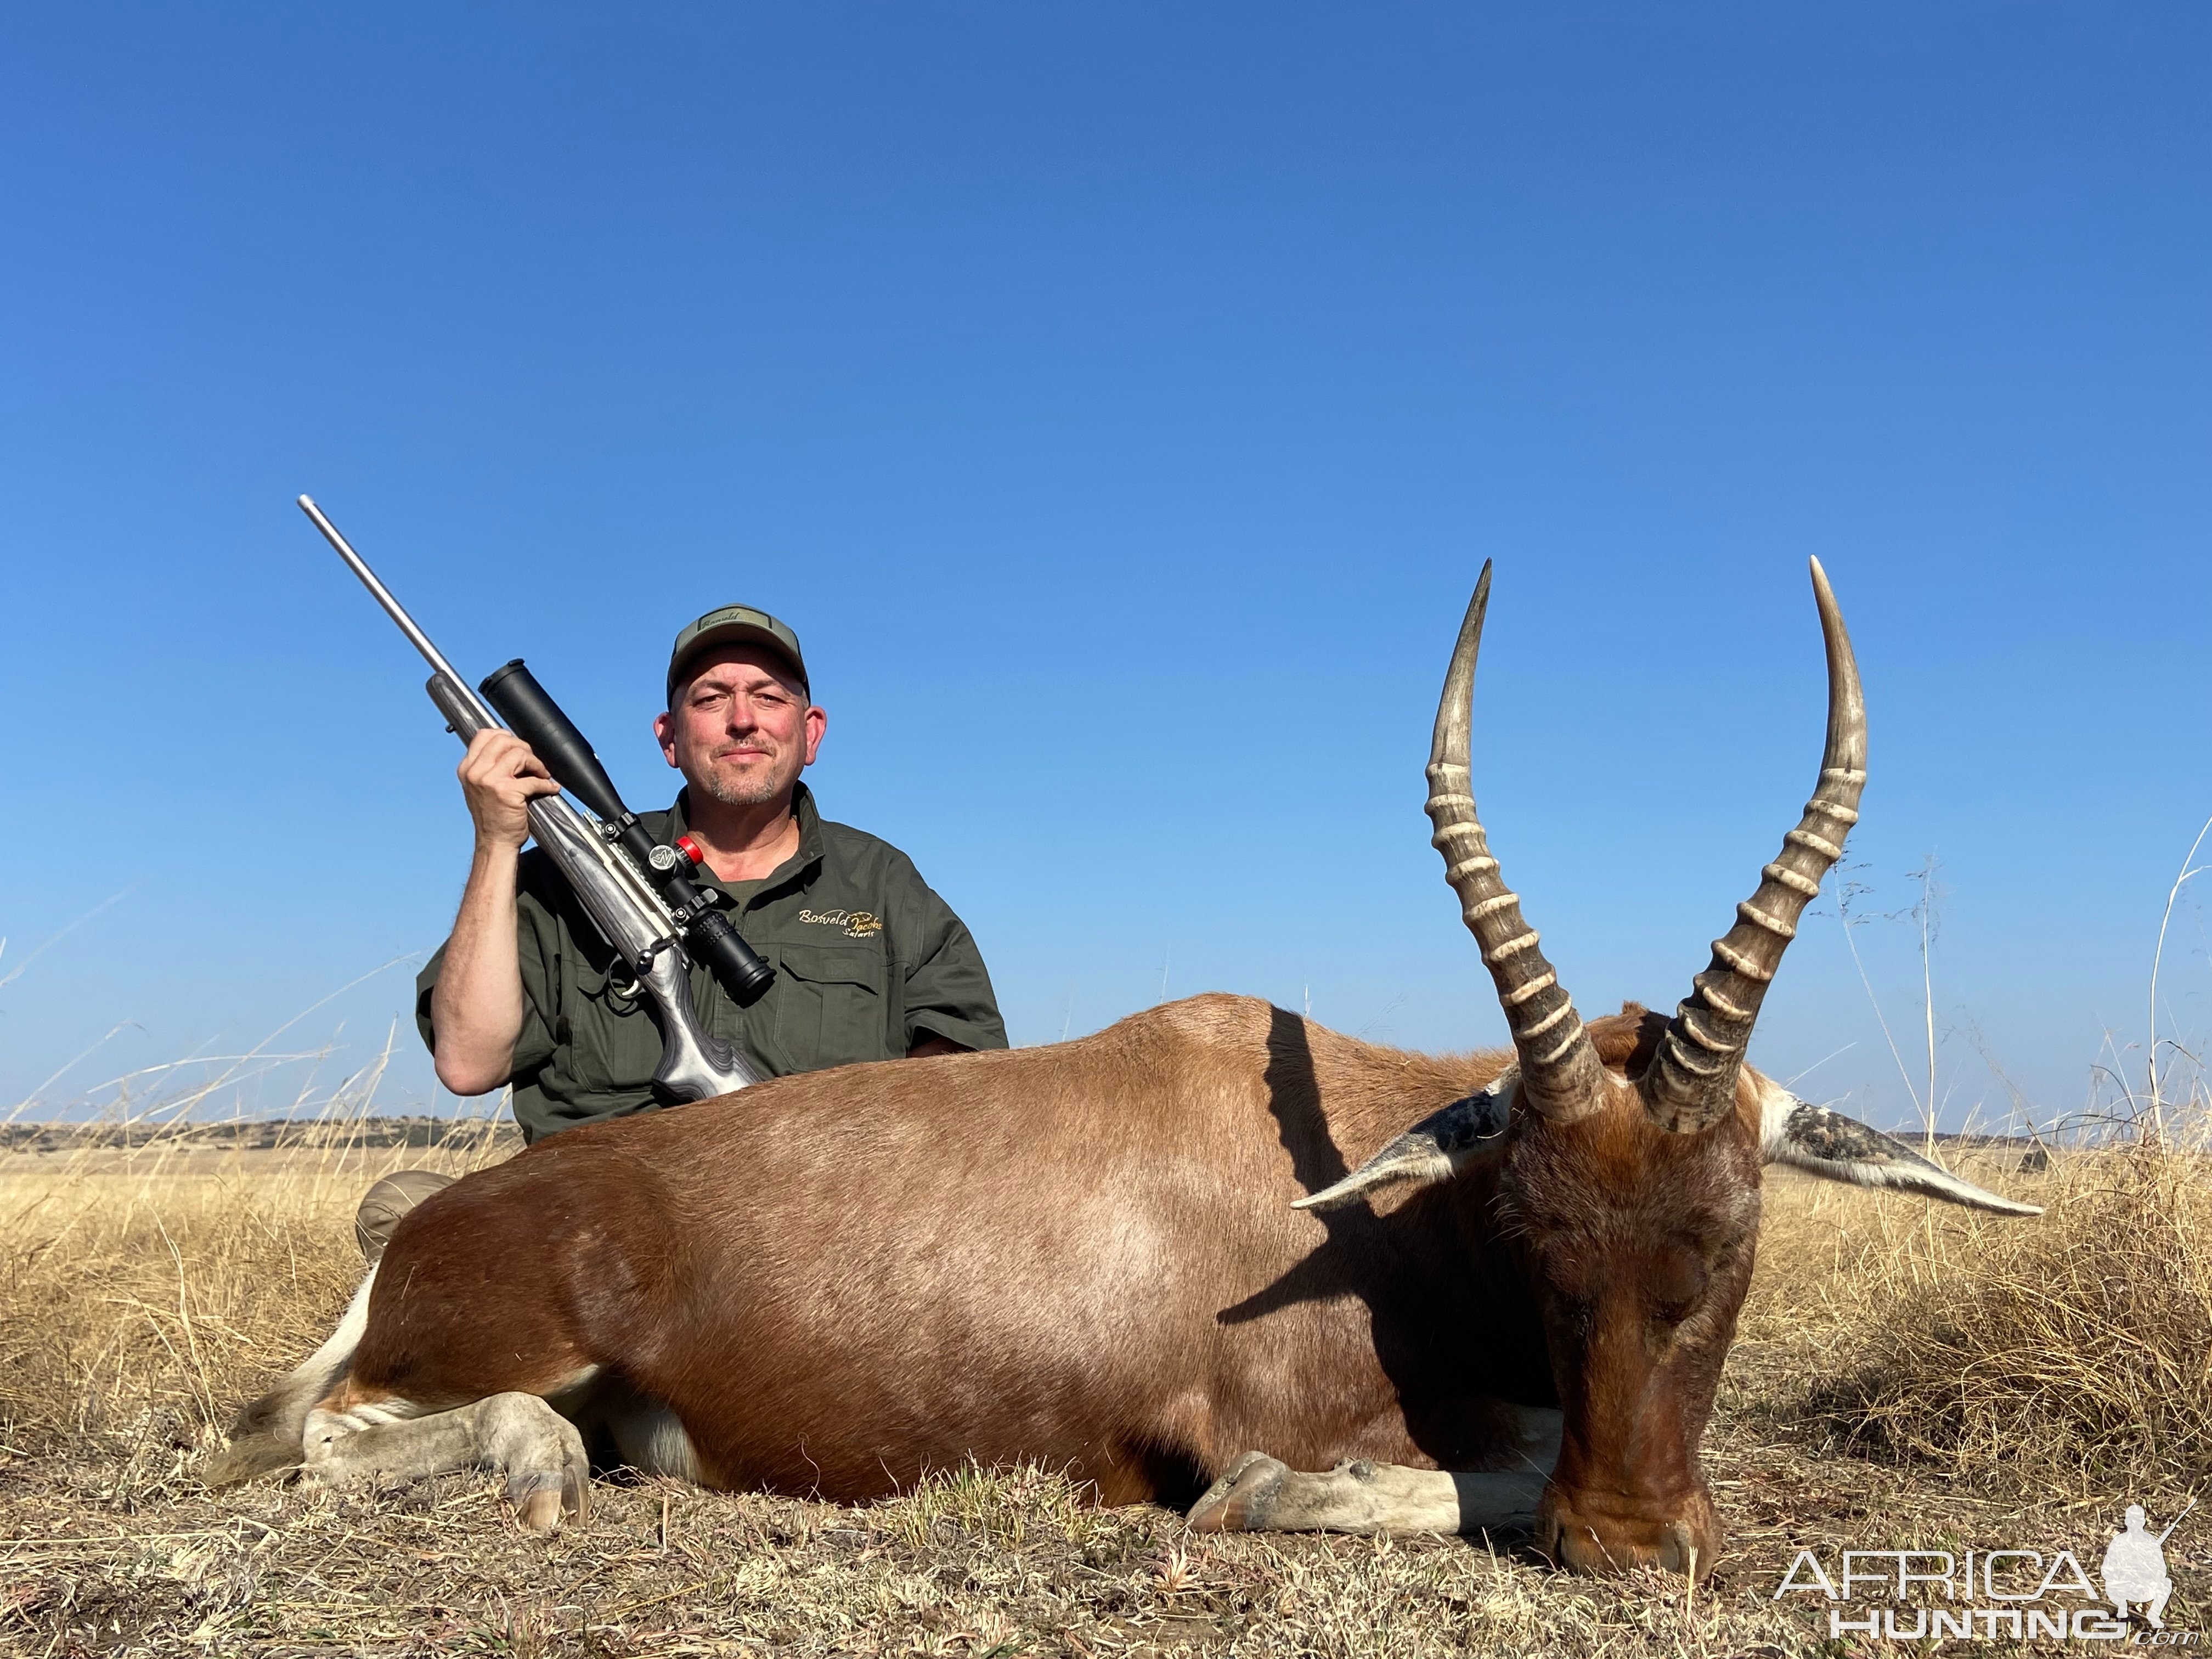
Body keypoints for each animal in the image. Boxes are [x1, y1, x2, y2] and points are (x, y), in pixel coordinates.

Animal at [211, 555, 2035, 1575]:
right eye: (1532, 1237)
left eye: (1728, 1244)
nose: (1634, 1547)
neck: (1349, 1196)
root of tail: (425, 1234)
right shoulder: (1263, 1427)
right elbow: (1357, 1483)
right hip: (494, 1349)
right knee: (337, 1436)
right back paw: (527, 1477)